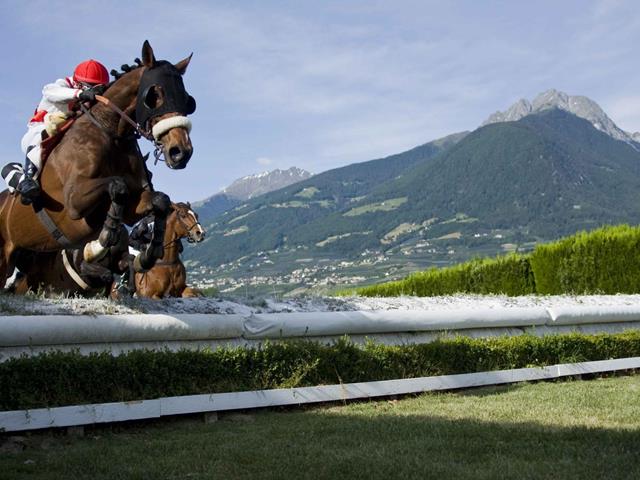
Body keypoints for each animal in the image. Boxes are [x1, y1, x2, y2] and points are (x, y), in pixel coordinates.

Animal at [0, 40, 195, 288]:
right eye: (155, 95)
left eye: (187, 99)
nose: (181, 152)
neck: (110, 132)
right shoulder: (73, 201)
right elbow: (118, 185)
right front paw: (98, 245)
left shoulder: (133, 207)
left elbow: (160, 200)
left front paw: (149, 253)